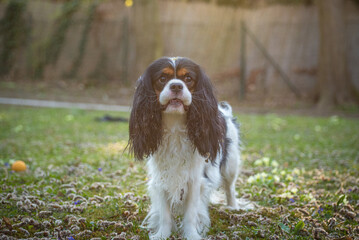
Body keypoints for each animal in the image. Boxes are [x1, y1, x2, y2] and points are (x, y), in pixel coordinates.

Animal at [129, 57, 242, 239]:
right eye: (162, 78)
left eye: (188, 79)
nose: (176, 86)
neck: (175, 125)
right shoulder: (161, 178)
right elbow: (165, 214)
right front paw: (163, 234)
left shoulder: (195, 180)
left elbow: (191, 213)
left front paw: (191, 234)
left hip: (231, 165)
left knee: (230, 187)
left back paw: (233, 207)